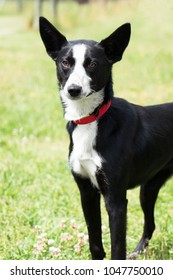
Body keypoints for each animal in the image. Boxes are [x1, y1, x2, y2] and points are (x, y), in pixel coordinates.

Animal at [39, 16, 173, 260]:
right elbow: (95, 244)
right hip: (149, 188)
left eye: (92, 64)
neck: (91, 119)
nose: (73, 90)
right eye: (66, 63)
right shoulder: (87, 194)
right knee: (150, 223)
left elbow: (117, 248)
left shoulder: (116, 200)